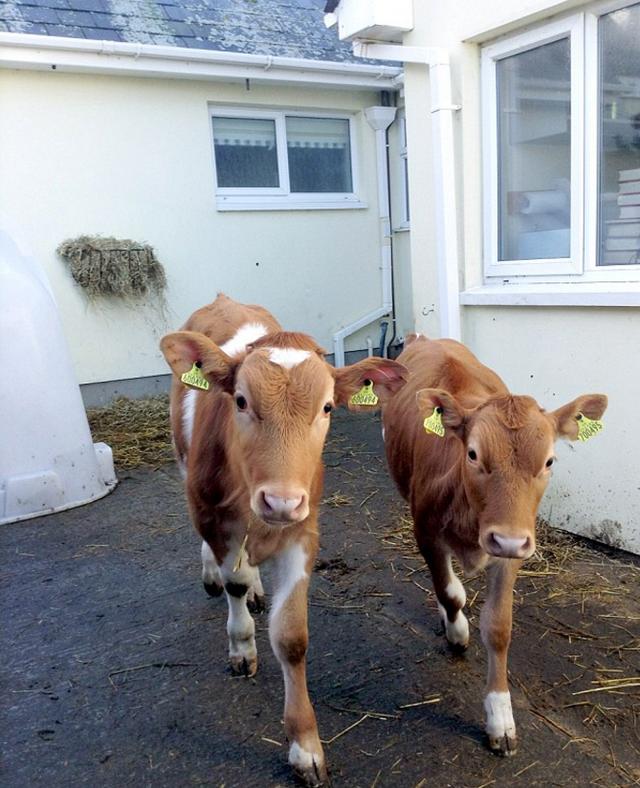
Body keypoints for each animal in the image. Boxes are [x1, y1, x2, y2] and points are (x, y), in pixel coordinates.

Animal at [162, 294, 408, 780]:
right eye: (240, 400)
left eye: (328, 408)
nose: (278, 501)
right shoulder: (217, 517)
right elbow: (234, 582)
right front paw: (241, 645)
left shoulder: (301, 528)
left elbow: (292, 637)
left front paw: (304, 744)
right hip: (186, 472)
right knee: (220, 563)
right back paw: (214, 576)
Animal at [382, 336, 608, 756]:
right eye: (473, 454)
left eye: (549, 460)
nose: (506, 538)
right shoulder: (425, 531)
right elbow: (450, 592)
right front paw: (457, 631)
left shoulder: (513, 549)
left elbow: (499, 627)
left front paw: (500, 717)